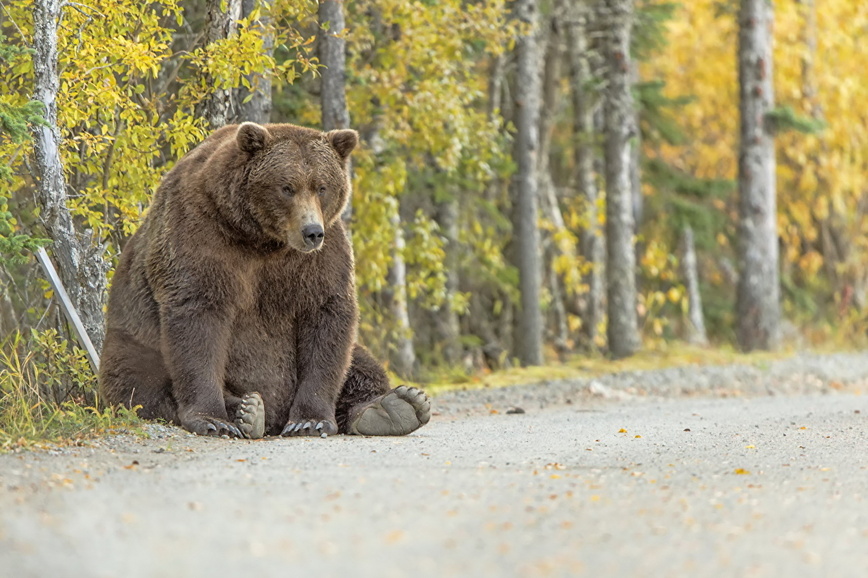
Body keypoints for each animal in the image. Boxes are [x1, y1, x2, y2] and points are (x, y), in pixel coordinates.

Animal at [98, 121, 430, 436]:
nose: (312, 232)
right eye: (287, 187)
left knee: (360, 362)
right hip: (133, 341)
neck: (261, 239)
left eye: (322, 186)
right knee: (140, 382)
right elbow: (198, 317)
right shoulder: (198, 234)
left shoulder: (319, 258)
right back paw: (247, 410)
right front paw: (212, 419)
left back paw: (394, 406)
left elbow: (327, 317)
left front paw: (310, 420)